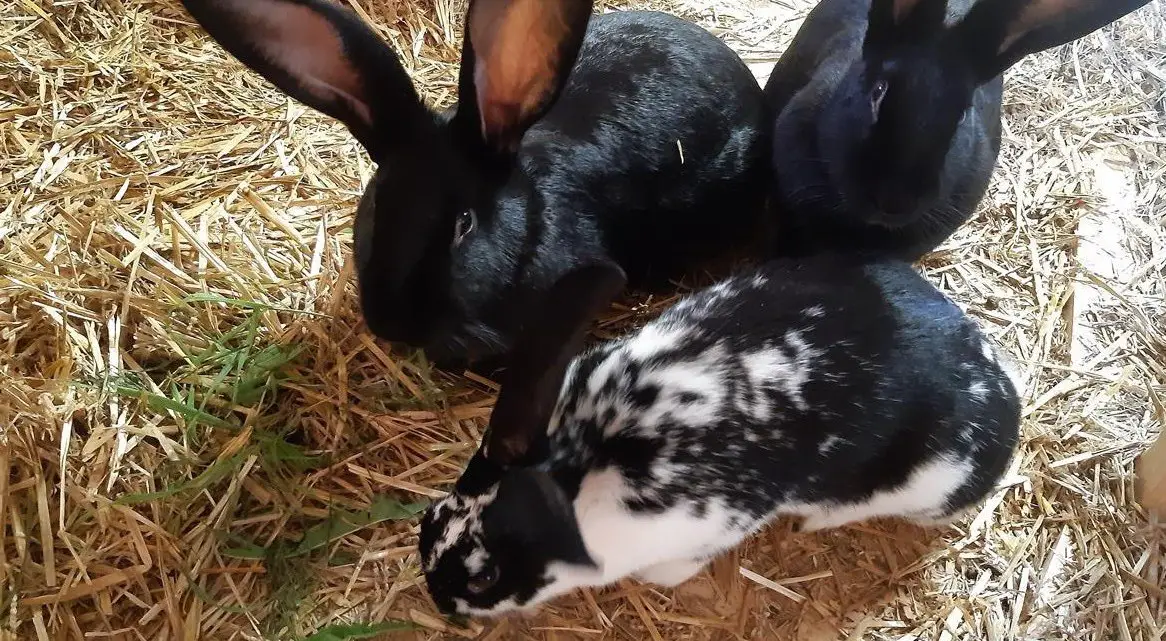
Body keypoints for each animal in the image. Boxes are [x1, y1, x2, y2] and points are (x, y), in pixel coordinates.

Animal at [418, 255, 1022, 617]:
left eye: (484, 578)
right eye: (429, 518)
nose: (439, 601)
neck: (578, 461)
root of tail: (1006, 396)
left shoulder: (703, 529)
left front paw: (661, 578)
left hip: (922, 484)